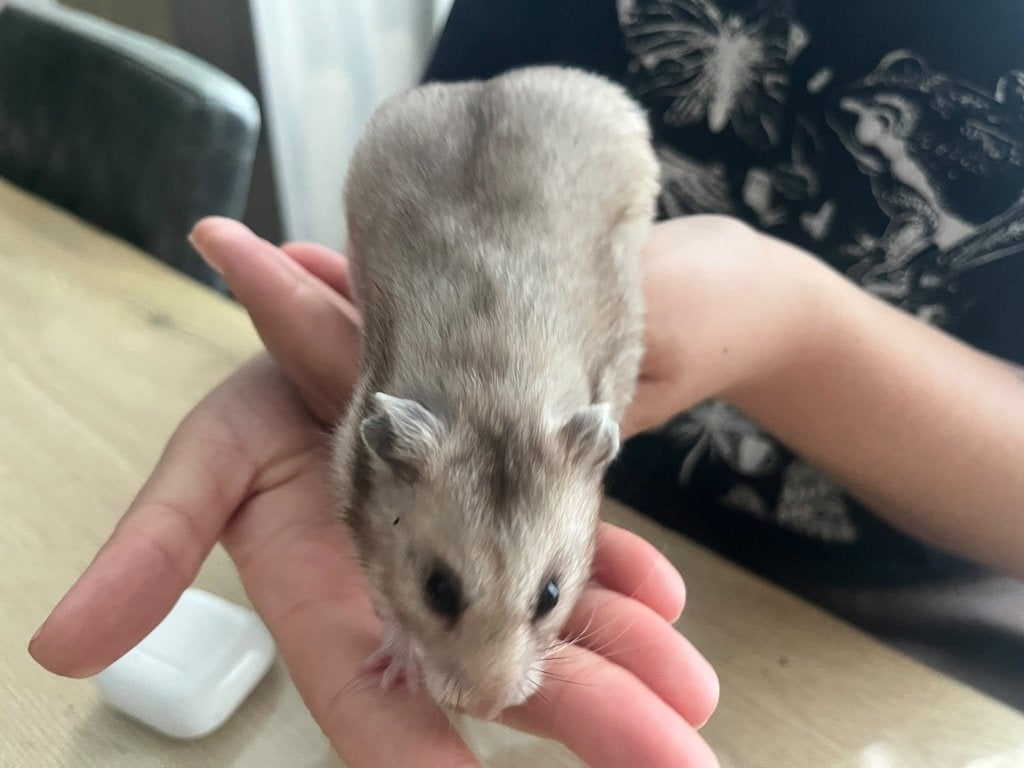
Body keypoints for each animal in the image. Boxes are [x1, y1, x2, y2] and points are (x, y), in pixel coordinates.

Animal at [332, 65, 659, 720]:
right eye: (437, 590)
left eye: (551, 595)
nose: (485, 709)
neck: (497, 394)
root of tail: (494, 81)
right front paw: (394, 668)